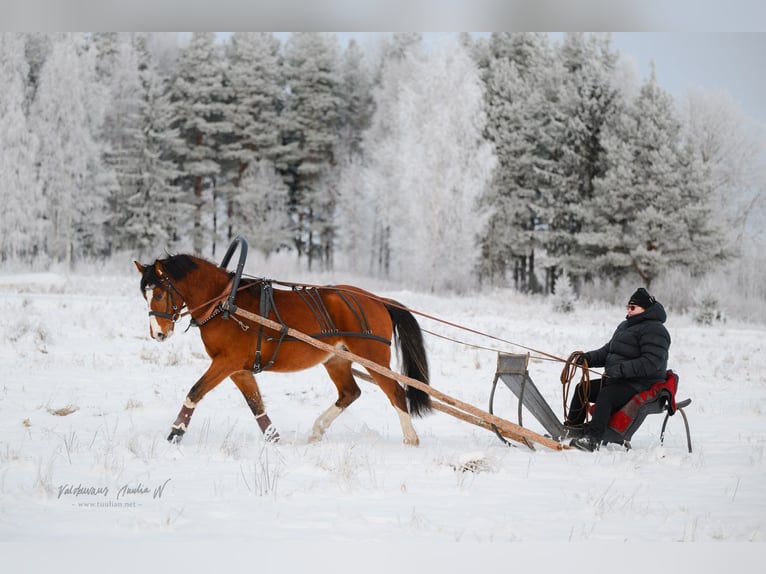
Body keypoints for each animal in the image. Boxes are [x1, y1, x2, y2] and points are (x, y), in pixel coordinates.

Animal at [134, 254, 432, 445]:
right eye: (144, 295)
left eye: (159, 293)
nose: (158, 333)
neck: (225, 303)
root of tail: (378, 299)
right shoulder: (238, 369)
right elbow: (255, 403)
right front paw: (273, 438)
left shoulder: (227, 362)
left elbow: (195, 392)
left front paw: (176, 432)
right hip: (336, 359)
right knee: (350, 392)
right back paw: (317, 430)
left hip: (373, 358)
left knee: (396, 391)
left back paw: (411, 438)